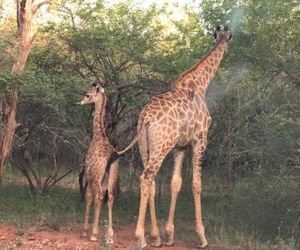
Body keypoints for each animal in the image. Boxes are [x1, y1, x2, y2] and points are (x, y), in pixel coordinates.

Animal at [79, 83, 119, 243]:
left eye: (87, 95)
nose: (80, 102)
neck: (98, 136)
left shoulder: (89, 174)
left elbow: (88, 197)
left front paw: (85, 231)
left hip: (97, 177)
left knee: (98, 197)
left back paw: (94, 234)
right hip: (112, 176)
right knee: (110, 198)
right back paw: (110, 235)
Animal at [117, 24, 232, 248]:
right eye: (227, 39)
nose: (227, 49)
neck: (200, 84)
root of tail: (146, 117)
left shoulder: (180, 147)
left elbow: (175, 183)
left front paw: (169, 234)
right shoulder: (200, 140)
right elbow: (196, 184)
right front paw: (202, 236)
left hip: (145, 146)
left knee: (151, 180)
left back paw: (155, 236)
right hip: (161, 146)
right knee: (146, 177)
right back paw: (140, 237)